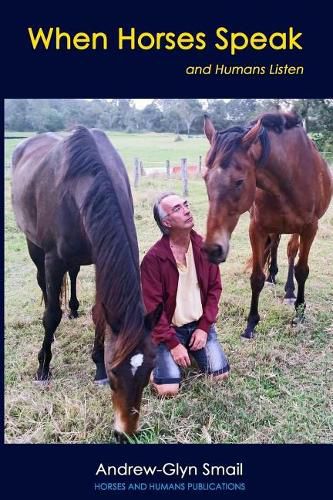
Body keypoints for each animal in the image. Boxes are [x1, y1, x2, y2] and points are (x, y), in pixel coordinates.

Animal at [12, 127, 162, 440]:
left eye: (150, 370)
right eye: (116, 371)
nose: (125, 433)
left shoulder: (99, 256)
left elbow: (99, 314)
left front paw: (96, 368)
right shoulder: (53, 259)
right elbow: (51, 316)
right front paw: (43, 367)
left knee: (73, 275)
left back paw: (73, 308)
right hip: (34, 245)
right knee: (44, 285)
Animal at [202, 112, 332, 340]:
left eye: (239, 181)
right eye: (205, 178)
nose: (212, 249)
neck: (288, 177)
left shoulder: (309, 229)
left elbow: (301, 270)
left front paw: (299, 313)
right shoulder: (257, 229)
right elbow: (256, 277)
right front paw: (250, 324)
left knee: (291, 251)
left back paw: (289, 291)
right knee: (275, 245)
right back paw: (273, 275)